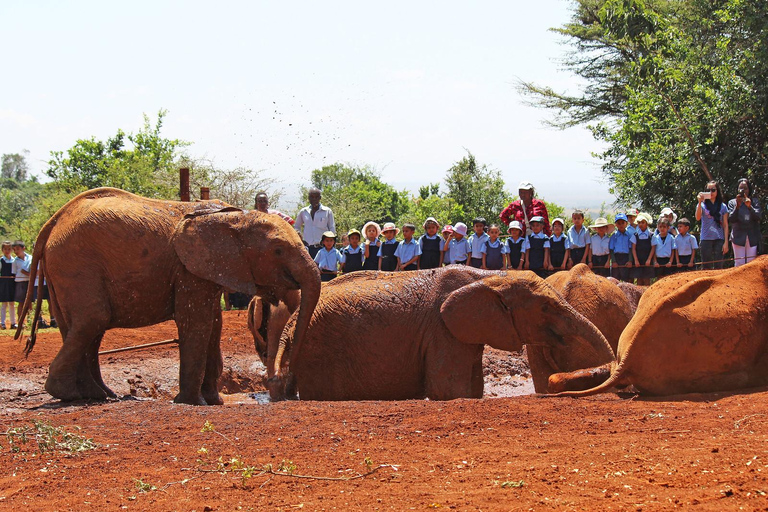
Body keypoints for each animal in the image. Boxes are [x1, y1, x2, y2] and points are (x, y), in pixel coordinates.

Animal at [15, 186, 320, 406]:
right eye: (278, 250)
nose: (282, 386)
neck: (234, 217)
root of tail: (52, 222)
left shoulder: (205, 270)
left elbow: (214, 324)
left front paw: (214, 401)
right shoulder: (189, 268)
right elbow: (197, 323)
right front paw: (191, 402)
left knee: (85, 328)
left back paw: (100, 394)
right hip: (75, 262)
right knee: (93, 319)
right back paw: (72, 395)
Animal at [268, 266, 616, 402]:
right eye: (545, 307)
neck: (490, 276)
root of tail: (290, 324)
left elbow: (471, 389)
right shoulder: (442, 332)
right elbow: (449, 390)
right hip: (319, 348)